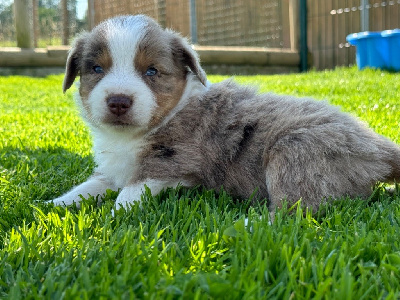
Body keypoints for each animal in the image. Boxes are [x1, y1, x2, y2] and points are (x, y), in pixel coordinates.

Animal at [51, 15, 400, 214]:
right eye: (97, 69)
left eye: (151, 71)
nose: (119, 101)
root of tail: (377, 145)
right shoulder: (113, 168)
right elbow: (91, 185)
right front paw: (53, 205)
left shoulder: (176, 161)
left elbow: (133, 189)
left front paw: (115, 216)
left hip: (296, 154)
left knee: (295, 212)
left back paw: (246, 226)